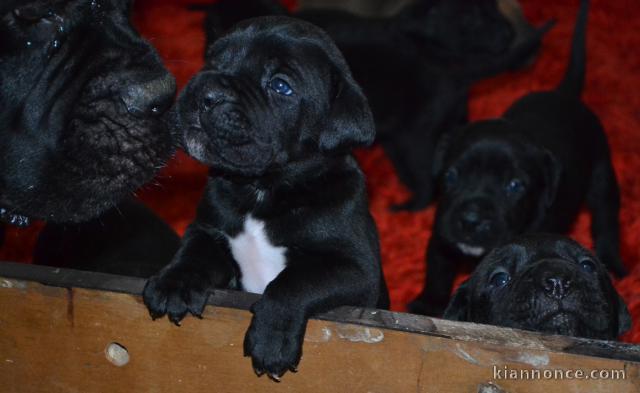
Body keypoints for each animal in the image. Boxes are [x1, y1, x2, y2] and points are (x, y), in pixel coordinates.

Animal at [142, 16, 388, 380]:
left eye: (280, 86)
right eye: (213, 60)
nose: (207, 93)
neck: (262, 190)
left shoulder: (356, 268)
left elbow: (295, 282)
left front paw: (272, 338)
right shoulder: (207, 231)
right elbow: (193, 253)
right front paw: (175, 282)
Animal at [410, 0, 624, 316]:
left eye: (514, 186)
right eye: (450, 177)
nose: (471, 220)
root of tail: (564, 95)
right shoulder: (442, 235)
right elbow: (437, 269)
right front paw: (427, 303)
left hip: (602, 173)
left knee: (606, 216)